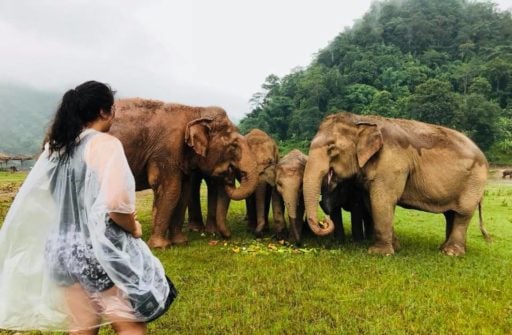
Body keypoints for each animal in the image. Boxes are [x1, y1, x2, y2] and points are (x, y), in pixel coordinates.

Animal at [109, 98, 258, 248]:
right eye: (233, 146)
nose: (227, 236)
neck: (195, 111)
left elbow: (184, 191)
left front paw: (180, 242)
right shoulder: (167, 150)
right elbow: (171, 189)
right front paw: (161, 246)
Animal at [302, 111, 490, 256]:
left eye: (331, 148)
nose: (324, 221)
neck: (362, 119)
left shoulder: (392, 162)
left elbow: (382, 201)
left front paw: (379, 253)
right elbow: (372, 203)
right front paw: (396, 248)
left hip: (474, 181)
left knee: (462, 213)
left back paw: (451, 253)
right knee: (451, 214)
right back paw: (445, 248)